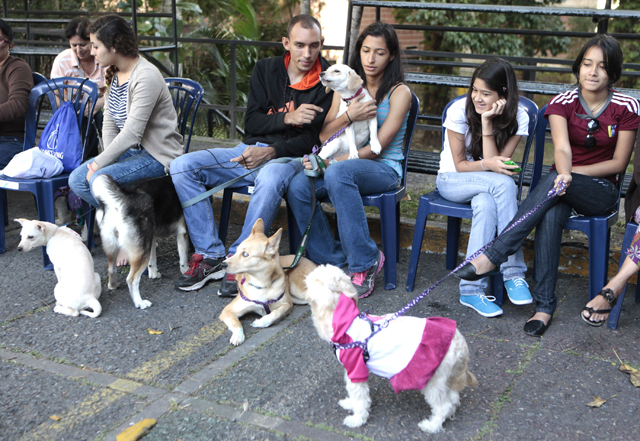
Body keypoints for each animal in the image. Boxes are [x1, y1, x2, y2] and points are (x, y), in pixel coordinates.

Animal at [220, 218, 318, 346]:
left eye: (245, 254)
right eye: (235, 251)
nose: (222, 264)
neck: (261, 284)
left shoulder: (287, 304)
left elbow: (277, 312)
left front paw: (262, 322)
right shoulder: (228, 310)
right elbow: (236, 324)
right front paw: (238, 336)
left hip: (299, 290)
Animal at [304, 262, 476, 432]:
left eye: (313, 278)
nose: (304, 281)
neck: (344, 324)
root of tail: (458, 341)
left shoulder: (356, 370)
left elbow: (360, 398)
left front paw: (357, 419)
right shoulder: (351, 371)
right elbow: (353, 394)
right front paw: (349, 403)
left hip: (433, 379)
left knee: (443, 406)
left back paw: (432, 426)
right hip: (446, 376)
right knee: (453, 398)